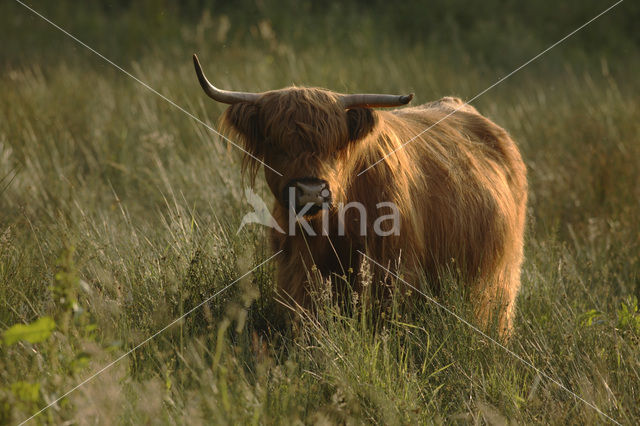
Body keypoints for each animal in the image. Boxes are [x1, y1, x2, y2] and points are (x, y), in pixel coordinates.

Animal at [192, 53, 528, 334]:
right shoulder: (299, 267)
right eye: (276, 143)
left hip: (499, 274)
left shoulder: (392, 267)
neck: (334, 223)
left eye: (335, 147)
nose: (311, 191)